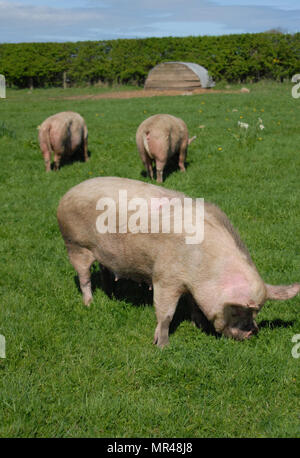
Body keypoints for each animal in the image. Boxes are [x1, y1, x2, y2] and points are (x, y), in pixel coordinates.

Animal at [56, 178, 300, 348]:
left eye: (257, 312)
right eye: (238, 312)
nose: (253, 332)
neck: (207, 268)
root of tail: (67, 193)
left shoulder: (191, 285)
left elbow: (193, 305)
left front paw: (196, 325)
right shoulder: (165, 278)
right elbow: (165, 314)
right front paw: (162, 346)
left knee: (105, 272)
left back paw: (112, 296)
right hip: (74, 245)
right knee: (84, 277)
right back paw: (89, 304)